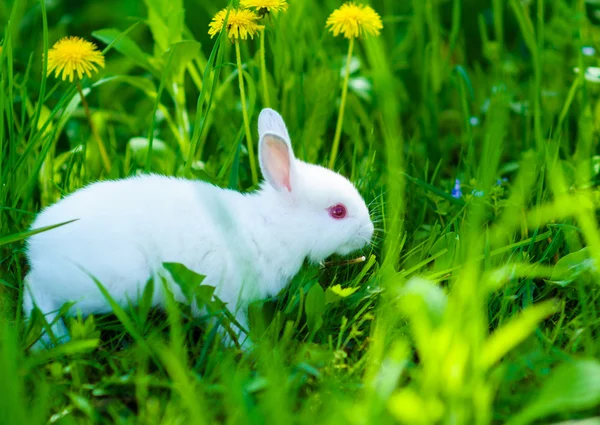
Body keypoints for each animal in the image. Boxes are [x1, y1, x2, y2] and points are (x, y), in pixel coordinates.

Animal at [24, 108, 376, 348]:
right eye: (338, 212)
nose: (370, 231)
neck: (273, 226)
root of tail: (36, 244)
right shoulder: (224, 296)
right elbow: (231, 328)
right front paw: (251, 350)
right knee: (35, 289)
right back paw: (53, 339)